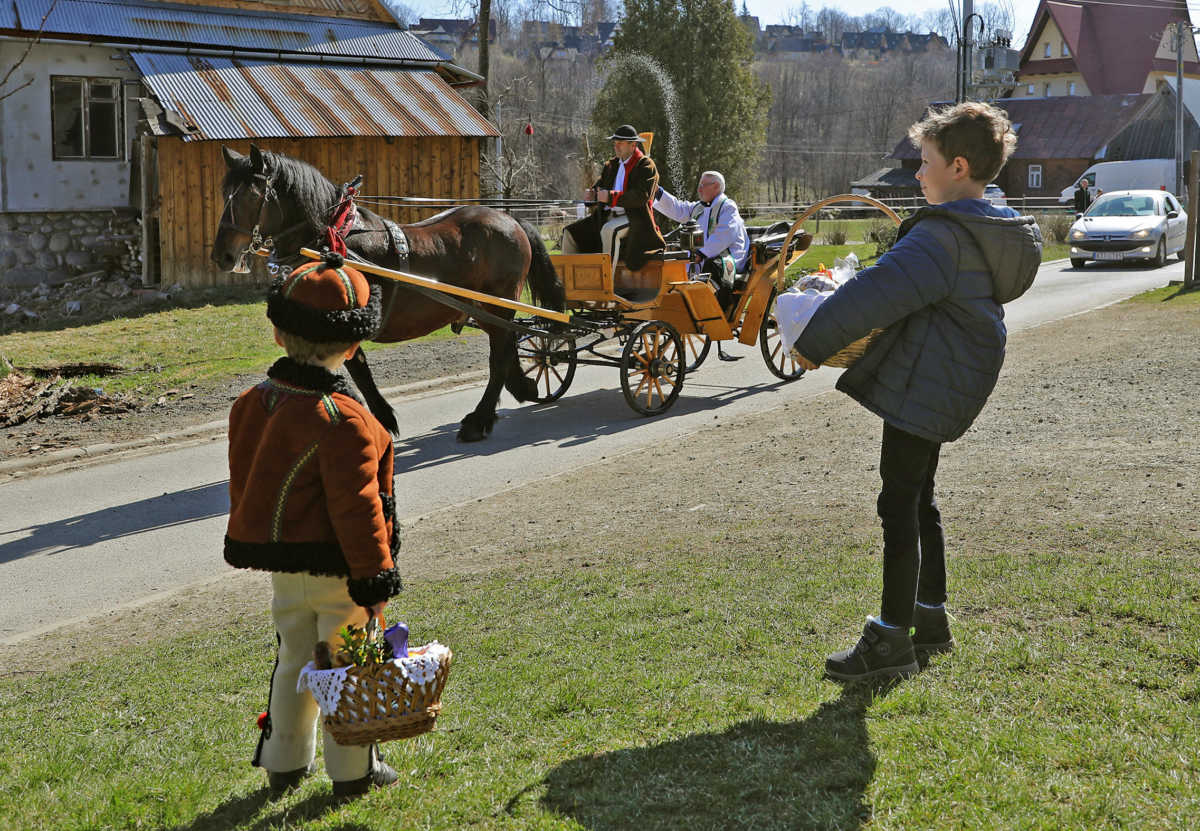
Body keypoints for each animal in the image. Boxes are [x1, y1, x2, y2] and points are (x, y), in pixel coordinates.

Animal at [212, 142, 566, 441]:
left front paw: (382, 420)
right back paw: (522, 388)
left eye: (250, 195)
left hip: (498, 302)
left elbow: (359, 370)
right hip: (484, 307)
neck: (331, 240)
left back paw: (479, 420)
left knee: (500, 353)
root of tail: (511, 219)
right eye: (224, 192)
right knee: (507, 342)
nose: (222, 255)